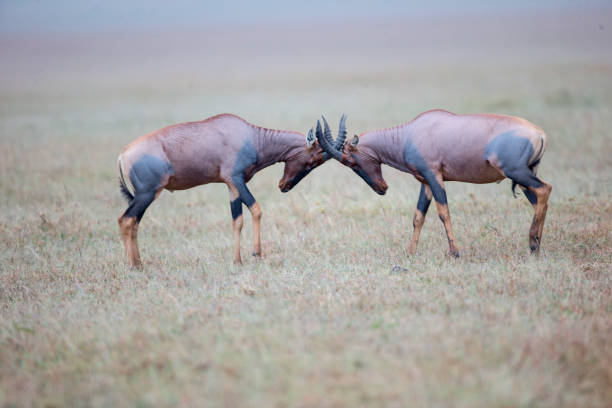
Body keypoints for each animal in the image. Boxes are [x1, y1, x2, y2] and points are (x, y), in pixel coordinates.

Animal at [115, 112, 344, 268]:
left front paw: (237, 261)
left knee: (134, 223)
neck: (249, 136)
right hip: (147, 193)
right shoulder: (236, 179)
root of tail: (123, 155)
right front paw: (256, 254)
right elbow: (256, 209)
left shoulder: (231, 185)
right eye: (312, 160)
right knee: (125, 220)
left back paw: (139, 263)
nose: (284, 186)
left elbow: (237, 220)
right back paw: (132, 266)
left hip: (145, 195)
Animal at [318, 110, 552, 256]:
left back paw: (533, 243)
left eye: (350, 161)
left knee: (544, 189)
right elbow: (418, 216)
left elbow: (443, 213)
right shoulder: (426, 182)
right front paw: (410, 253)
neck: (411, 133)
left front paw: (455, 252)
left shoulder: (435, 177)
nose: (381, 188)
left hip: (516, 172)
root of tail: (539, 133)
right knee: (540, 200)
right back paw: (536, 247)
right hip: (523, 177)